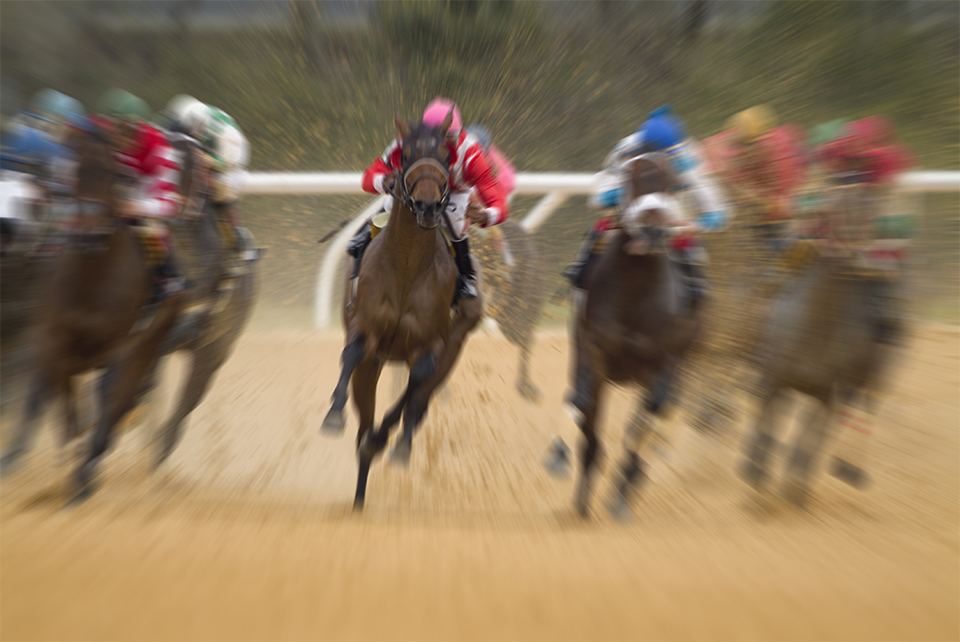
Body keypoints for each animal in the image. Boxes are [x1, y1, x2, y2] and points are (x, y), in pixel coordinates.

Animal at [0, 126, 183, 500]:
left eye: (113, 174)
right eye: (69, 171)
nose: (90, 234)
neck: (94, 274)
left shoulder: (120, 346)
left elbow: (107, 396)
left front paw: (84, 474)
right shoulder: (52, 335)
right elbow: (52, 392)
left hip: (147, 345)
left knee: (123, 397)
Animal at [322, 111, 484, 510]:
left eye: (445, 154)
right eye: (405, 154)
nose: (427, 205)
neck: (408, 265)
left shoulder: (430, 343)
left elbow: (417, 388)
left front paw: (401, 445)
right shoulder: (365, 330)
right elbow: (351, 354)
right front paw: (333, 415)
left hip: (452, 348)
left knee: (417, 397)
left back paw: (385, 441)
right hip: (374, 365)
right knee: (366, 419)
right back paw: (361, 486)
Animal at [564, 154, 704, 516]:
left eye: (670, 184)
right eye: (631, 180)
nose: (653, 230)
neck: (636, 289)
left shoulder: (662, 362)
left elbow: (647, 416)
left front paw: (623, 489)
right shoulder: (595, 351)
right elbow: (586, 408)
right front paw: (584, 490)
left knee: (660, 409)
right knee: (579, 398)